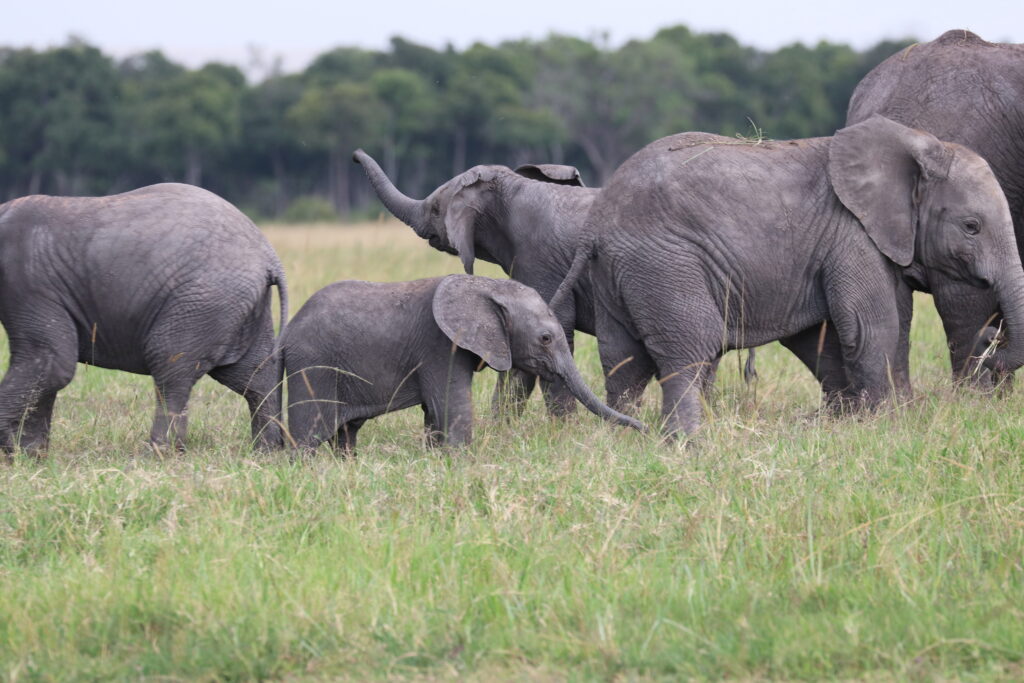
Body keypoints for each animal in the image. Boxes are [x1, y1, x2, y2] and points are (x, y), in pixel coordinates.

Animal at [0, 181, 288, 454]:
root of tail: (269, 256)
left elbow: (51, 363)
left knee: (169, 366)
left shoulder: (28, 281)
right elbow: (49, 368)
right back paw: (264, 451)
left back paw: (159, 453)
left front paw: (15, 453)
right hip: (239, 306)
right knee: (254, 377)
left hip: (203, 300)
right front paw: (31, 455)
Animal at [280, 272, 643, 454]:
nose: (644, 429)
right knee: (310, 435)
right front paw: (460, 461)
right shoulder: (441, 346)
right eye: (545, 338)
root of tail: (285, 335)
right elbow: (452, 408)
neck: (488, 286)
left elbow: (434, 412)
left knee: (346, 434)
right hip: (312, 367)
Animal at [352, 149, 655, 417]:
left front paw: (561, 430)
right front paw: (501, 430)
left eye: (437, 209)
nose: (355, 156)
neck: (511, 188)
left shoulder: (540, 259)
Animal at [552, 116, 1024, 438]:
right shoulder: (851, 235)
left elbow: (819, 338)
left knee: (622, 361)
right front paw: (885, 426)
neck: (917, 144)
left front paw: (843, 422)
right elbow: (869, 326)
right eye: (971, 227)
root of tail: (597, 223)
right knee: (691, 348)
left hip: (618, 273)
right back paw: (687, 443)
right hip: (664, 263)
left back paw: (624, 435)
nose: (990, 340)